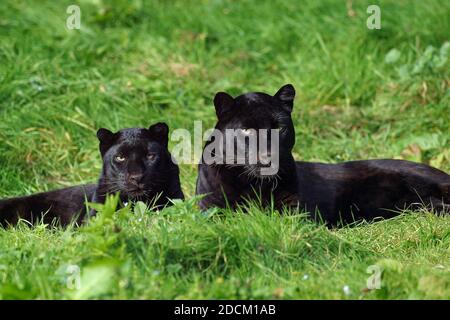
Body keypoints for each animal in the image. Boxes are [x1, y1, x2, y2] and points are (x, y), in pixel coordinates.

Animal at [198, 84, 450, 226]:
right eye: (247, 131)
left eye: (279, 127)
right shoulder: (211, 210)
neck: (255, 185)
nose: (268, 156)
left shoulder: (295, 210)